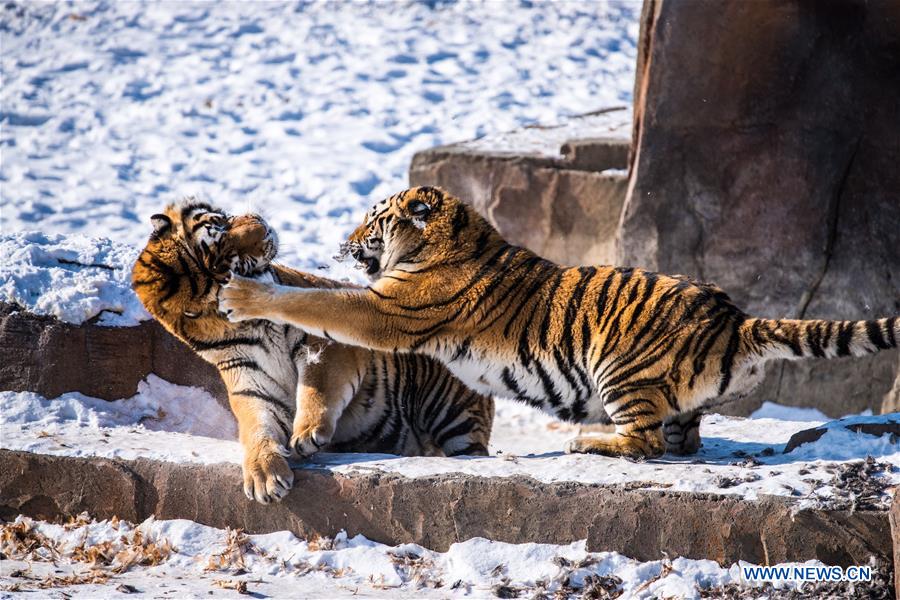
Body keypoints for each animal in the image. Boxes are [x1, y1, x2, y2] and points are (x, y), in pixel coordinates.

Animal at [132, 199, 492, 504]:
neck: (250, 325)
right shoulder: (252, 385)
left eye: (220, 222)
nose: (262, 225)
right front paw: (264, 476)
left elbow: (315, 388)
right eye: (229, 264)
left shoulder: (325, 343)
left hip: (452, 412)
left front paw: (306, 434)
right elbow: (257, 428)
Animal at [220, 188, 900, 460]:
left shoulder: (387, 308)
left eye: (373, 219)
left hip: (620, 368)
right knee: (682, 441)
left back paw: (586, 441)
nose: (344, 239)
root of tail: (737, 319)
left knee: (647, 444)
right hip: (672, 399)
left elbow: (319, 304)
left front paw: (244, 293)